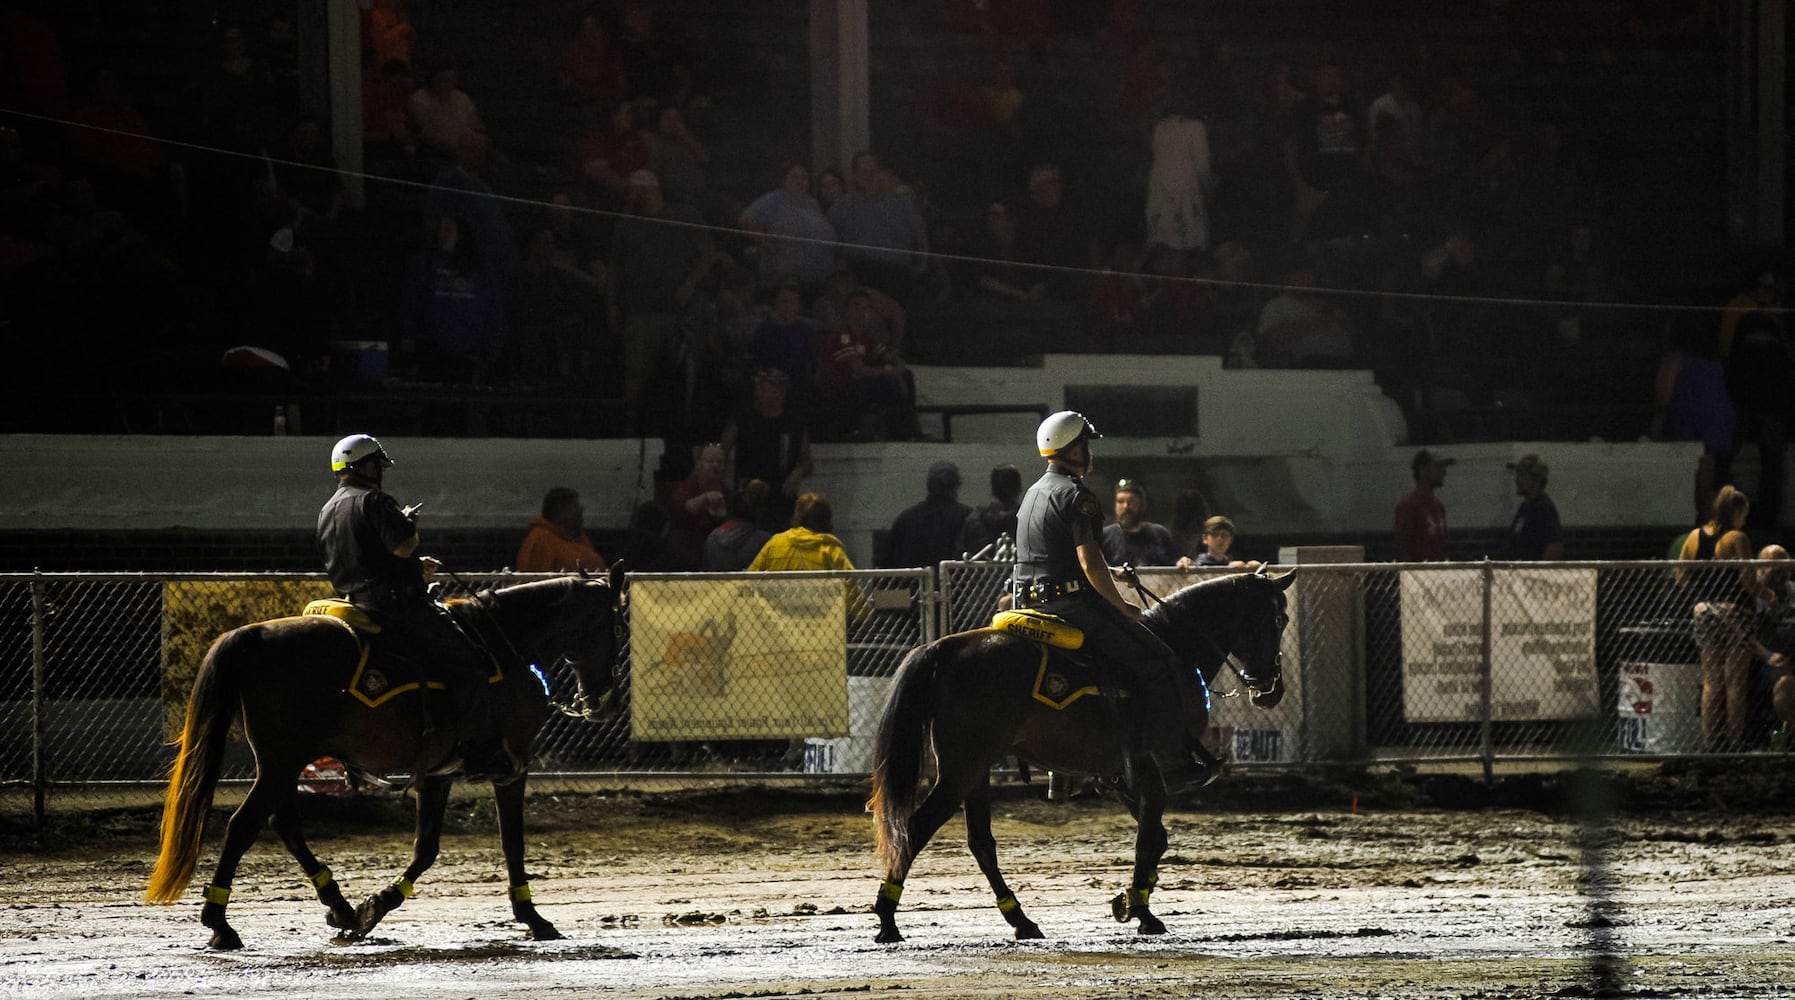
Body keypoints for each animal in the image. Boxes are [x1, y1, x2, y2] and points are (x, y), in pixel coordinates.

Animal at [145, 563, 624, 947]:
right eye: (614, 627)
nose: (606, 702)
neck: (503, 644)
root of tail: (253, 634)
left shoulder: (439, 773)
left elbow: (426, 847)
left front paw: (374, 908)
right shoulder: (512, 767)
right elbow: (512, 843)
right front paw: (533, 917)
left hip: (282, 764)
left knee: (285, 826)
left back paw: (339, 906)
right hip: (281, 764)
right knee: (244, 826)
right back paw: (220, 923)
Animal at [868, 563, 1292, 940]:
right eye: (1279, 620)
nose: (1271, 690)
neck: (1177, 649)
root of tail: (943, 647)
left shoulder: (1123, 778)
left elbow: (1156, 837)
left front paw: (1133, 900)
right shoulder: (1151, 769)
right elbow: (1149, 838)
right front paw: (1141, 909)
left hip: (975, 771)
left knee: (981, 843)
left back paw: (1021, 920)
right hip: (961, 769)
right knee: (916, 829)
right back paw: (887, 918)